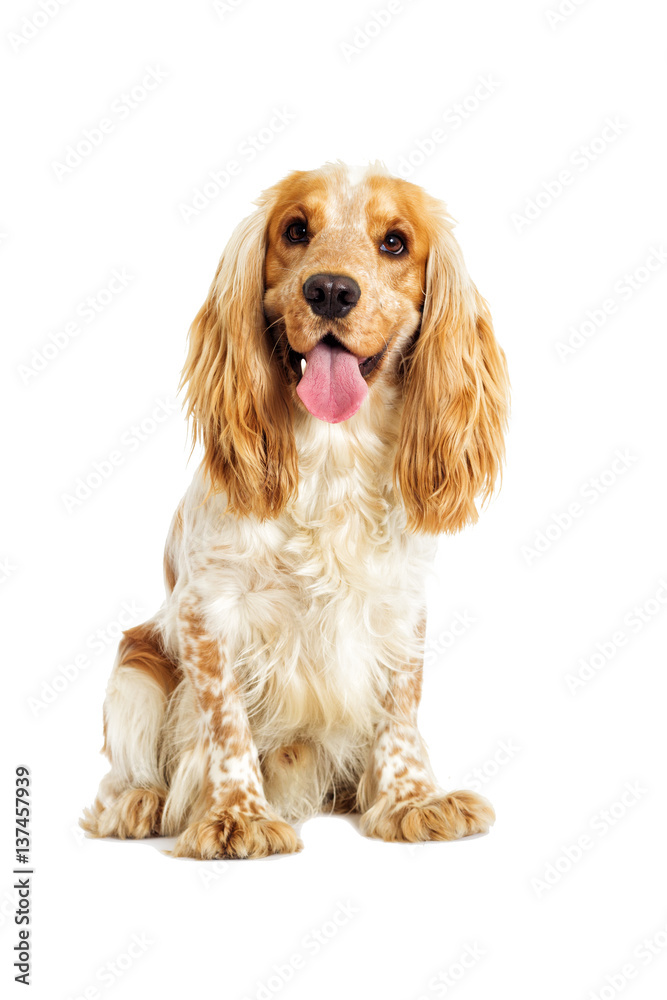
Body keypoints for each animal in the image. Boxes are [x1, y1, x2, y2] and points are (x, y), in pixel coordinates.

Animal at [83, 162, 512, 860]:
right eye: (295, 230)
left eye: (395, 242)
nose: (331, 290)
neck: (333, 455)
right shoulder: (210, 612)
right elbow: (225, 722)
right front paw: (237, 816)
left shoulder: (400, 607)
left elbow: (400, 707)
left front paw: (412, 800)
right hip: (135, 669)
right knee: (125, 770)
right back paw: (139, 801)